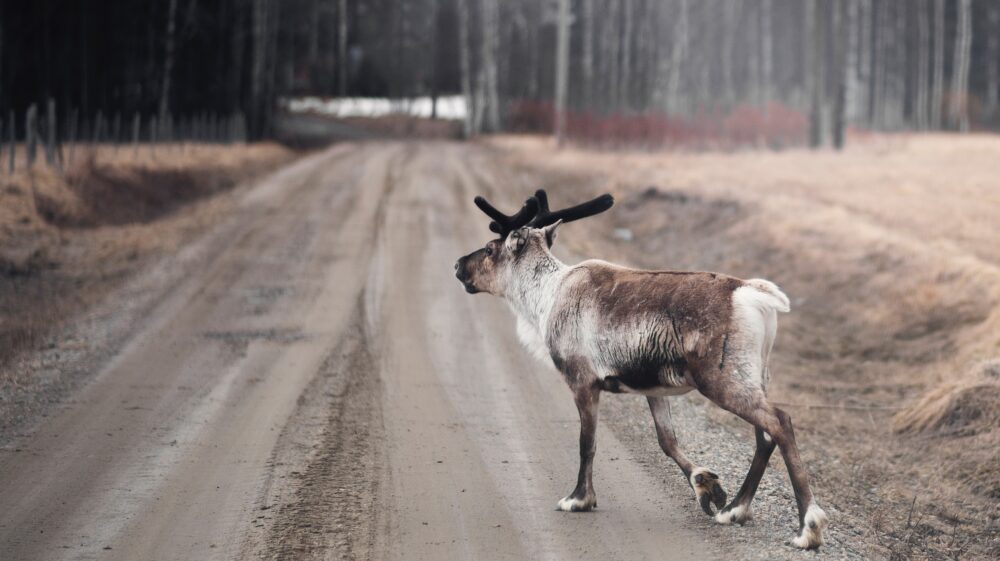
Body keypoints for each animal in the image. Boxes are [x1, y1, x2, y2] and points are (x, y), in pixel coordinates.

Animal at [454, 189, 828, 549]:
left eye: (490, 249)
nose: (457, 265)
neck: (546, 297)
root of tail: (752, 293)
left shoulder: (582, 380)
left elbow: (587, 442)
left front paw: (579, 499)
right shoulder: (653, 387)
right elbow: (666, 440)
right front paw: (706, 486)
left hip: (722, 379)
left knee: (780, 422)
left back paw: (807, 529)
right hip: (755, 376)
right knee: (765, 437)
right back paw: (734, 509)